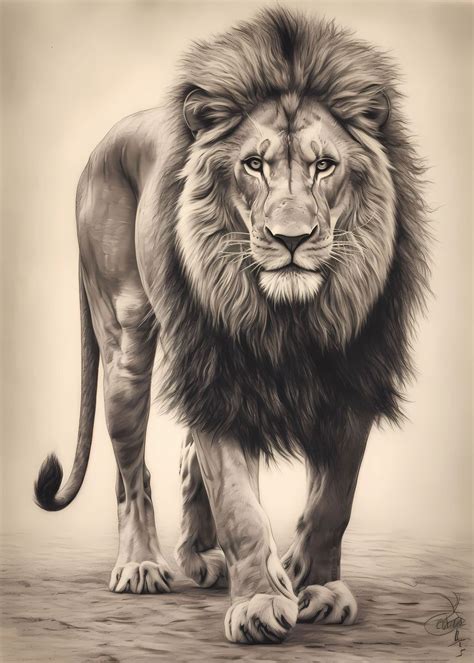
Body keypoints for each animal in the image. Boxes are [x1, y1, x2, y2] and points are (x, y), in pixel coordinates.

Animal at [34, 8, 430, 644]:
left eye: (325, 165)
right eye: (253, 164)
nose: (290, 239)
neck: (290, 317)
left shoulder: (353, 381)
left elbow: (333, 502)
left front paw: (318, 587)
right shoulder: (217, 377)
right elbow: (240, 506)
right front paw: (261, 602)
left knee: (183, 458)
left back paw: (199, 556)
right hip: (125, 344)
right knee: (131, 474)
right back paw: (141, 565)